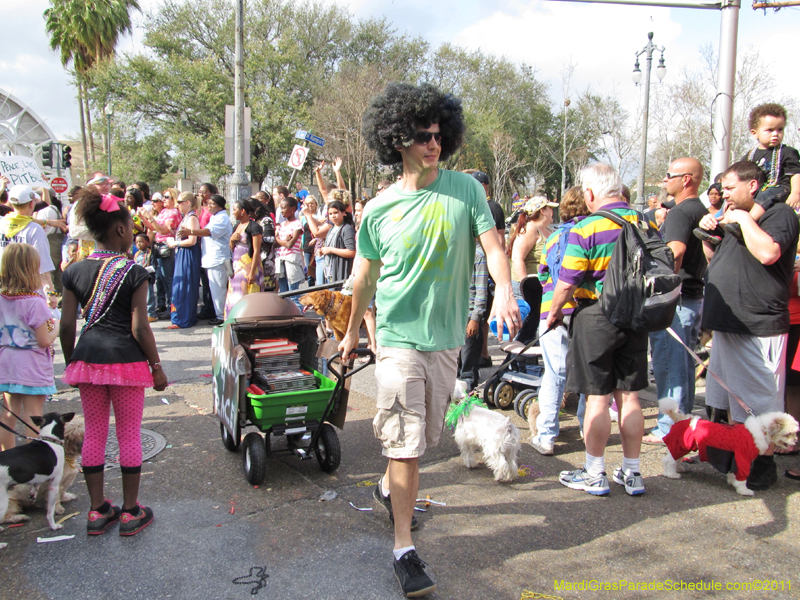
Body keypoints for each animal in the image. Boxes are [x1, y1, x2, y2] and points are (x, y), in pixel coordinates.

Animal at [0, 412, 74, 544]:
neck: (50, 440)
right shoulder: (54, 484)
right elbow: (50, 510)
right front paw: (53, 526)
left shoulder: (38, 477)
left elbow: (36, 485)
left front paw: (33, 494)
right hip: (3, 501)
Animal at [660, 396, 796, 494]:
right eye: (788, 433)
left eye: (795, 432)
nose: (795, 442)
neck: (762, 430)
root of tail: (682, 418)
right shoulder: (742, 458)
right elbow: (742, 478)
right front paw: (744, 490)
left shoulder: (733, 457)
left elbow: (732, 473)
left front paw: (732, 482)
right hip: (680, 445)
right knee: (668, 460)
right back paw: (671, 474)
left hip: (684, 446)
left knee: (675, 458)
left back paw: (678, 468)